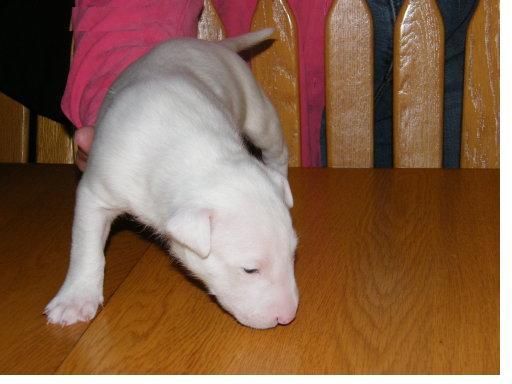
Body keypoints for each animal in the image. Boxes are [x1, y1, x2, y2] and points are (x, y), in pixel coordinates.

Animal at [46, 29, 300, 330]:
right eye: (250, 269)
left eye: (293, 254)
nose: (287, 317)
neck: (197, 152)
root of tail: (216, 45)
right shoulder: (96, 191)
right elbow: (87, 247)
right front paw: (75, 298)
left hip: (257, 110)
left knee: (275, 147)